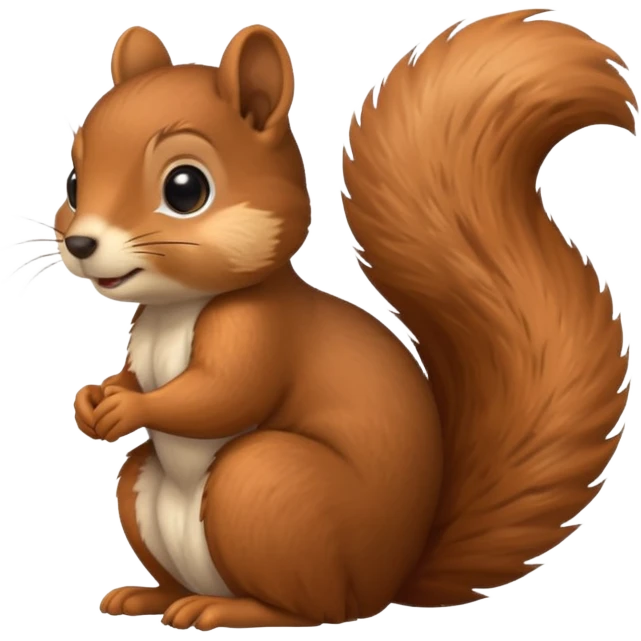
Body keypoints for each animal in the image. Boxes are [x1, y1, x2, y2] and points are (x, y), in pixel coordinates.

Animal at [60, 10, 636, 632]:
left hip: (265, 485)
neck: (177, 308)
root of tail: (390, 580)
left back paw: (228, 608)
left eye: (185, 188)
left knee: (314, 610)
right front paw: (93, 401)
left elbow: (222, 394)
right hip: (146, 492)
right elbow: (133, 375)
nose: (81, 243)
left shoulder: (261, 330)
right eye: (73, 184)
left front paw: (127, 408)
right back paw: (148, 597)